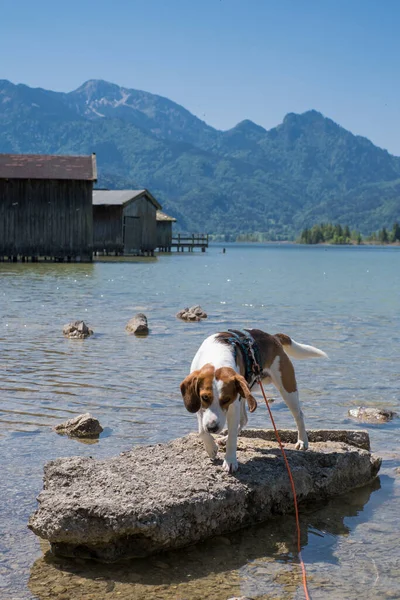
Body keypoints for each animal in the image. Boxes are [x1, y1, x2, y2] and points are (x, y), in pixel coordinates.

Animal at [180, 328, 326, 474]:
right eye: (205, 397)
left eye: (226, 399)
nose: (212, 428)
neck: (217, 357)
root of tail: (273, 337)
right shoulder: (200, 405)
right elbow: (201, 429)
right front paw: (211, 447)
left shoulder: (233, 405)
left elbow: (232, 438)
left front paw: (230, 461)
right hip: (245, 393)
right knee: (244, 420)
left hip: (287, 388)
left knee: (298, 415)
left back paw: (302, 441)